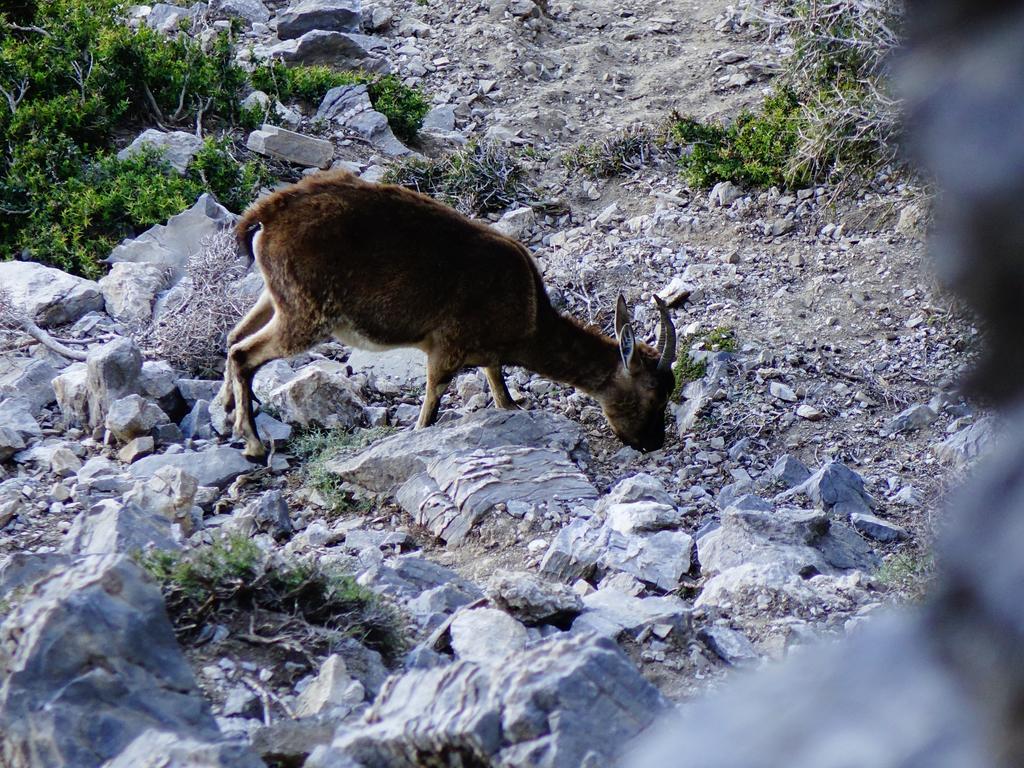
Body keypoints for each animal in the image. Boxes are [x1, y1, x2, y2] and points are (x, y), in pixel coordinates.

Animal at [220, 171, 675, 460]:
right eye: (654, 395)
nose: (652, 443)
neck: (528, 318)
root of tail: (267, 215)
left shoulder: (488, 358)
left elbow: (501, 394)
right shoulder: (447, 347)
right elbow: (431, 406)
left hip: (276, 296)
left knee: (233, 337)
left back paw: (226, 413)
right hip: (307, 314)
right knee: (244, 352)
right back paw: (253, 444)